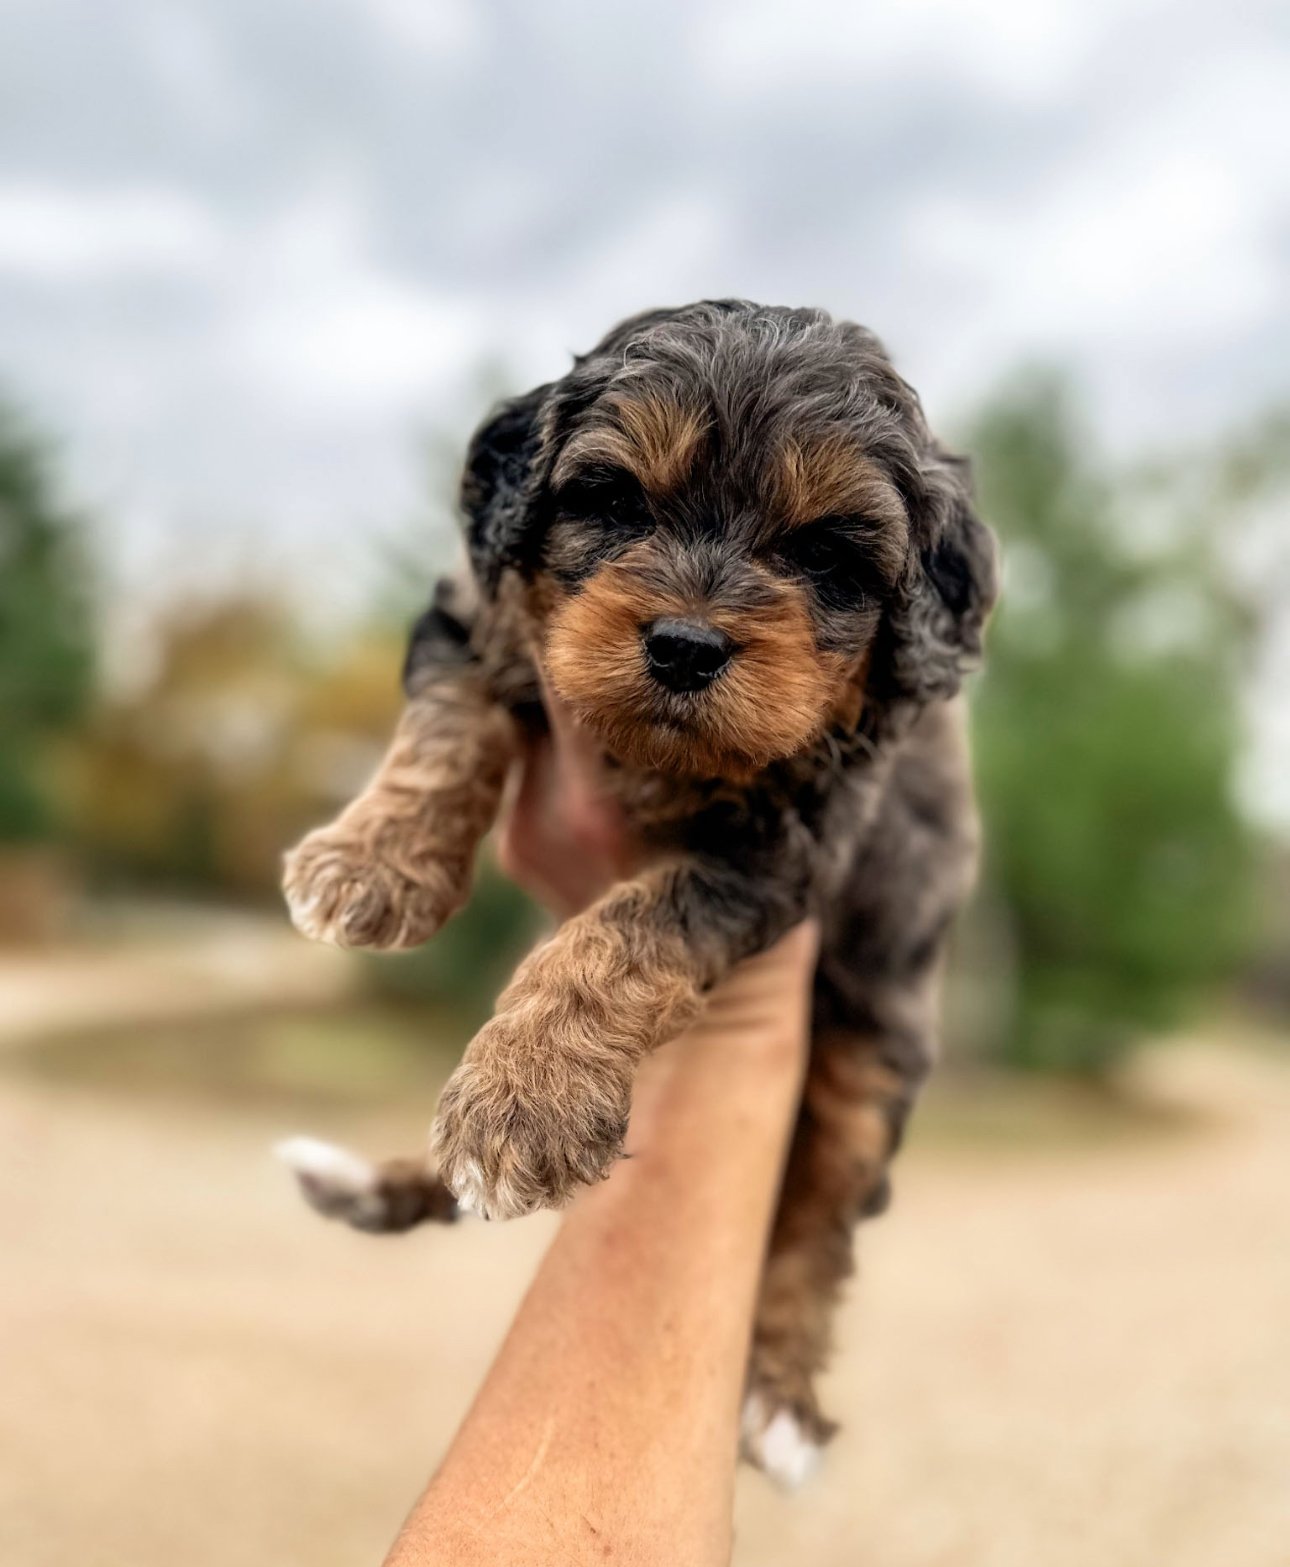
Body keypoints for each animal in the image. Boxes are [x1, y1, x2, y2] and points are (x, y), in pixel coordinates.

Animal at [277, 299, 996, 1485]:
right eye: (614, 500)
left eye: (823, 551)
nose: (686, 645)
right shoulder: (477, 612)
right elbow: (451, 725)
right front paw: (373, 861)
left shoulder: (775, 852)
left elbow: (622, 933)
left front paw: (525, 1097)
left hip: (872, 1060)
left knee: (817, 1233)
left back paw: (782, 1402)